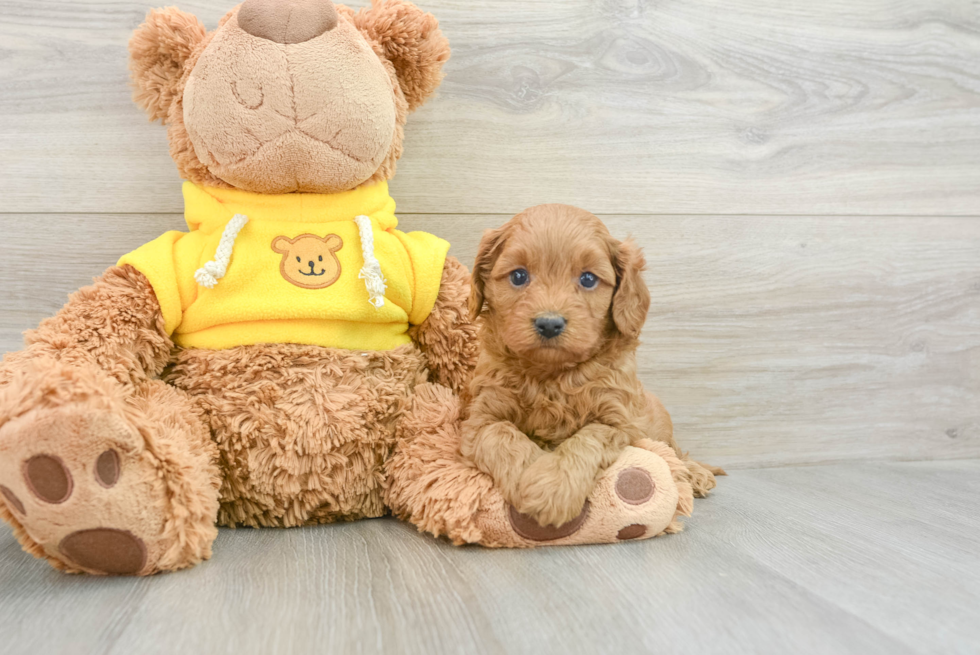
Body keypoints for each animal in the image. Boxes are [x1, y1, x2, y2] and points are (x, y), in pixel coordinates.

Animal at [460, 204, 720, 528]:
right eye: (518, 276)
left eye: (587, 279)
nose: (549, 323)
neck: (551, 375)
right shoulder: (480, 418)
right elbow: (502, 434)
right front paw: (532, 475)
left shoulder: (617, 420)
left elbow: (587, 438)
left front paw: (553, 489)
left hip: (659, 427)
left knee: (674, 450)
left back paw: (695, 473)